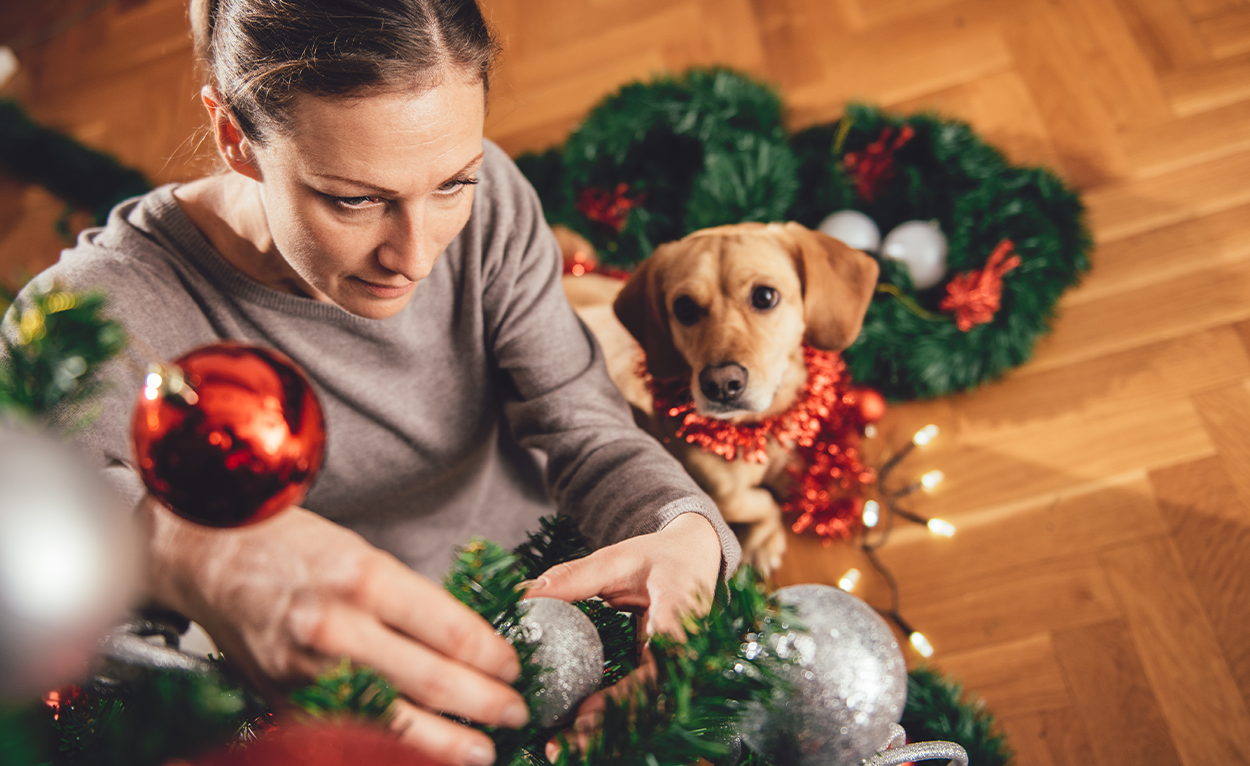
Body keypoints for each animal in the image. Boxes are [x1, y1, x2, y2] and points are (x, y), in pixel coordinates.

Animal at [562, 221, 875, 574]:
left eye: (765, 296)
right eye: (684, 308)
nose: (721, 384)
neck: (758, 430)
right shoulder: (719, 495)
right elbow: (754, 502)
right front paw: (764, 537)